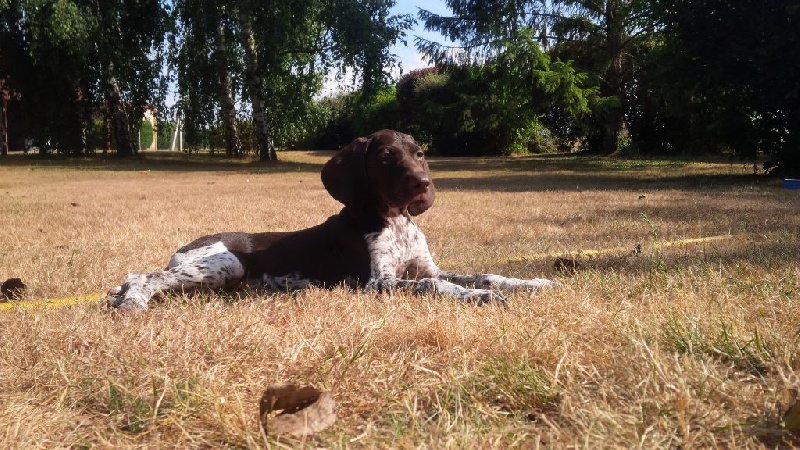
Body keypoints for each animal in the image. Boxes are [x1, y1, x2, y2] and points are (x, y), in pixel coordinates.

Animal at [106, 130, 556, 312]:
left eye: (420, 154)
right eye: (386, 156)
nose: (424, 185)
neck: (394, 222)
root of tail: (182, 249)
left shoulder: (428, 267)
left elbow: (484, 273)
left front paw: (532, 283)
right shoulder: (378, 284)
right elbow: (434, 286)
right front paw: (478, 297)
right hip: (224, 263)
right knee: (142, 275)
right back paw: (131, 302)